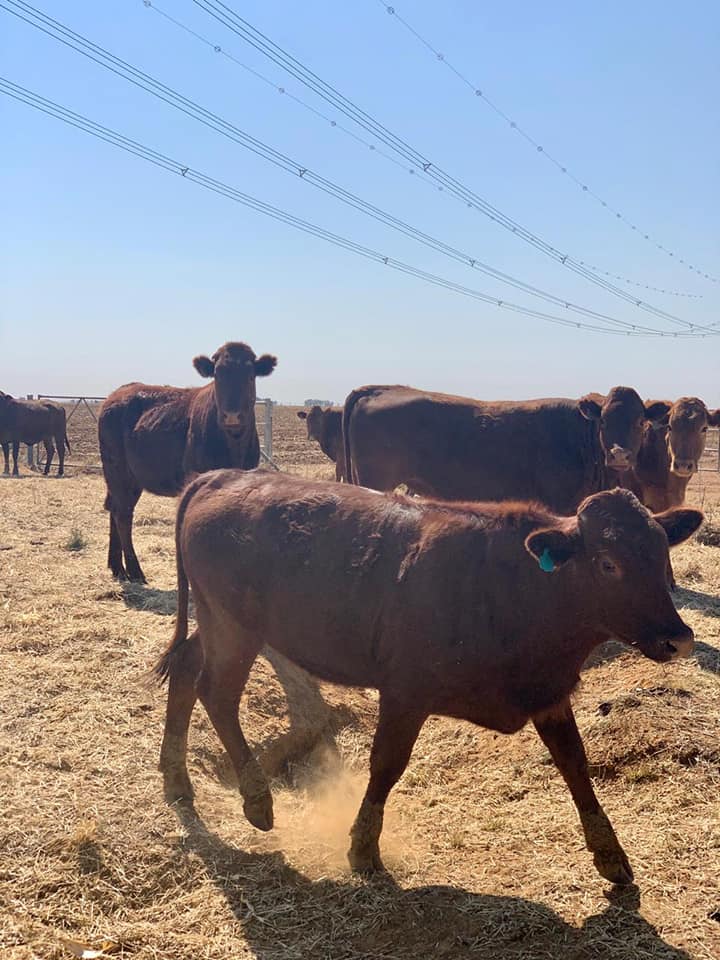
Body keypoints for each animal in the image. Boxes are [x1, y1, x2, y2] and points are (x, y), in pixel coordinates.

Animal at [98, 342, 276, 583]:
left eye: (250, 375)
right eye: (217, 375)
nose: (232, 416)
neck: (234, 443)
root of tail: (115, 395)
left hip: (126, 479)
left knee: (114, 508)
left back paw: (117, 567)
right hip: (119, 472)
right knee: (123, 515)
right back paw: (135, 571)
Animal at [156, 469, 701, 885]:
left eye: (662, 556)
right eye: (608, 564)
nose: (680, 639)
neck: (517, 587)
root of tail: (220, 475)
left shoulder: (547, 693)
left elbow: (575, 765)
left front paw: (610, 855)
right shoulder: (405, 693)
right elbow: (386, 765)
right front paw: (362, 848)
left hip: (213, 621)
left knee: (184, 670)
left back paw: (177, 780)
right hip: (234, 627)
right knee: (216, 693)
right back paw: (256, 800)